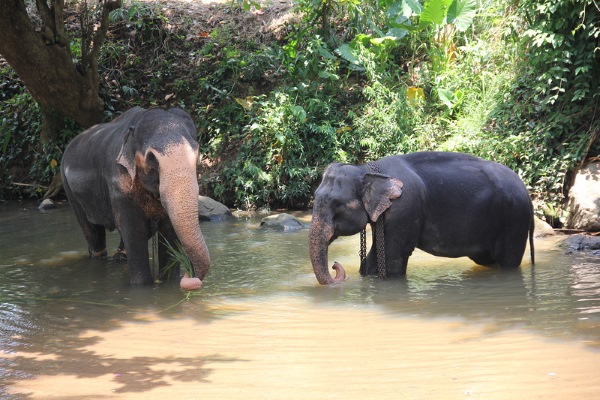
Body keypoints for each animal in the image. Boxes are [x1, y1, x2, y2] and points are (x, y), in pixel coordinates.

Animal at [61, 106, 210, 288]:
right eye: (152, 157)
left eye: (197, 154)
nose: (190, 276)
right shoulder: (117, 180)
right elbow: (134, 229)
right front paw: (142, 286)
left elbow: (168, 230)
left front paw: (170, 282)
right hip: (69, 188)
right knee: (92, 232)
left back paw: (119, 258)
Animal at [310, 150, 536, 284]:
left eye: (336, 205)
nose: (335, 265)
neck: (367, 169)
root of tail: (528, 194)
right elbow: (374, 259)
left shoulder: (403, 210)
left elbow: (393, 259)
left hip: (513, 220)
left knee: (508, 260)